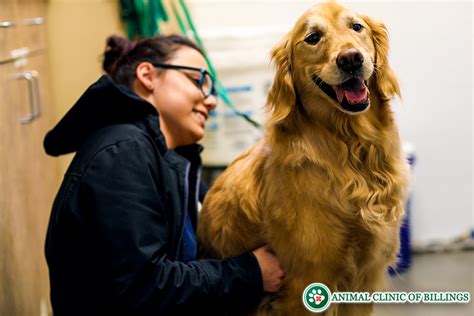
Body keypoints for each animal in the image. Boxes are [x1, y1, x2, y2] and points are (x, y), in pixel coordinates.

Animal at [198, 1, 410, 314]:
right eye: (313, 38)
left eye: (357, 27)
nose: (350, 59)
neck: (351, 148)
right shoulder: (306, 282)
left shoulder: (364, 279)